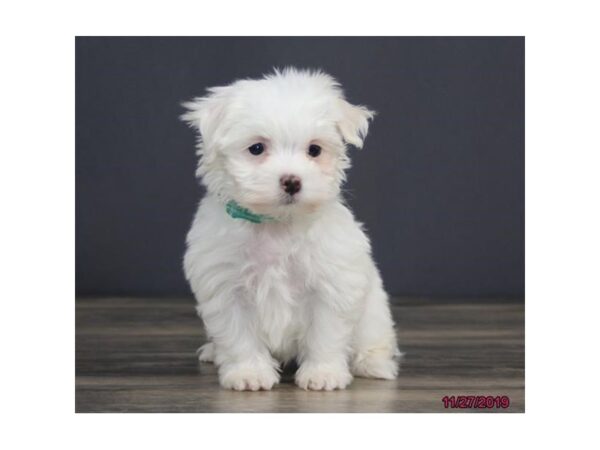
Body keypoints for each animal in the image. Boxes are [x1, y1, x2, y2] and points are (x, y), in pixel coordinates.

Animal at [182, 67, 398, 390]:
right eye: (257, 148)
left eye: (314, 150)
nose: (292, 181)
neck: (277, 224)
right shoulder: (226, 286)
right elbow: (238, 335)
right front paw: (249, 373)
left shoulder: (331, 284)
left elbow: (326, 333)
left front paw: (323, 373)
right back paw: (212, 352)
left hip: (374, 314)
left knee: (375, 340)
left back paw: (374, 364)